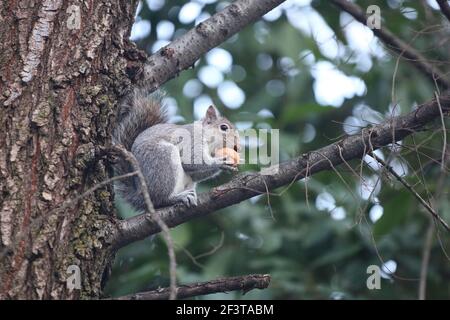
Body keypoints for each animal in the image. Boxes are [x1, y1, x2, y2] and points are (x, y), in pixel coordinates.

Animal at [112, 89, 241, 211]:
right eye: (223, 127)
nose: (237, 148)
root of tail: (141, 196)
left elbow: (195, 173)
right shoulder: (191, 140)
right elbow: (191, 161)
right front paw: (222, 160)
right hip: (163, 162)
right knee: (160, 199)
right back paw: (178, 197)